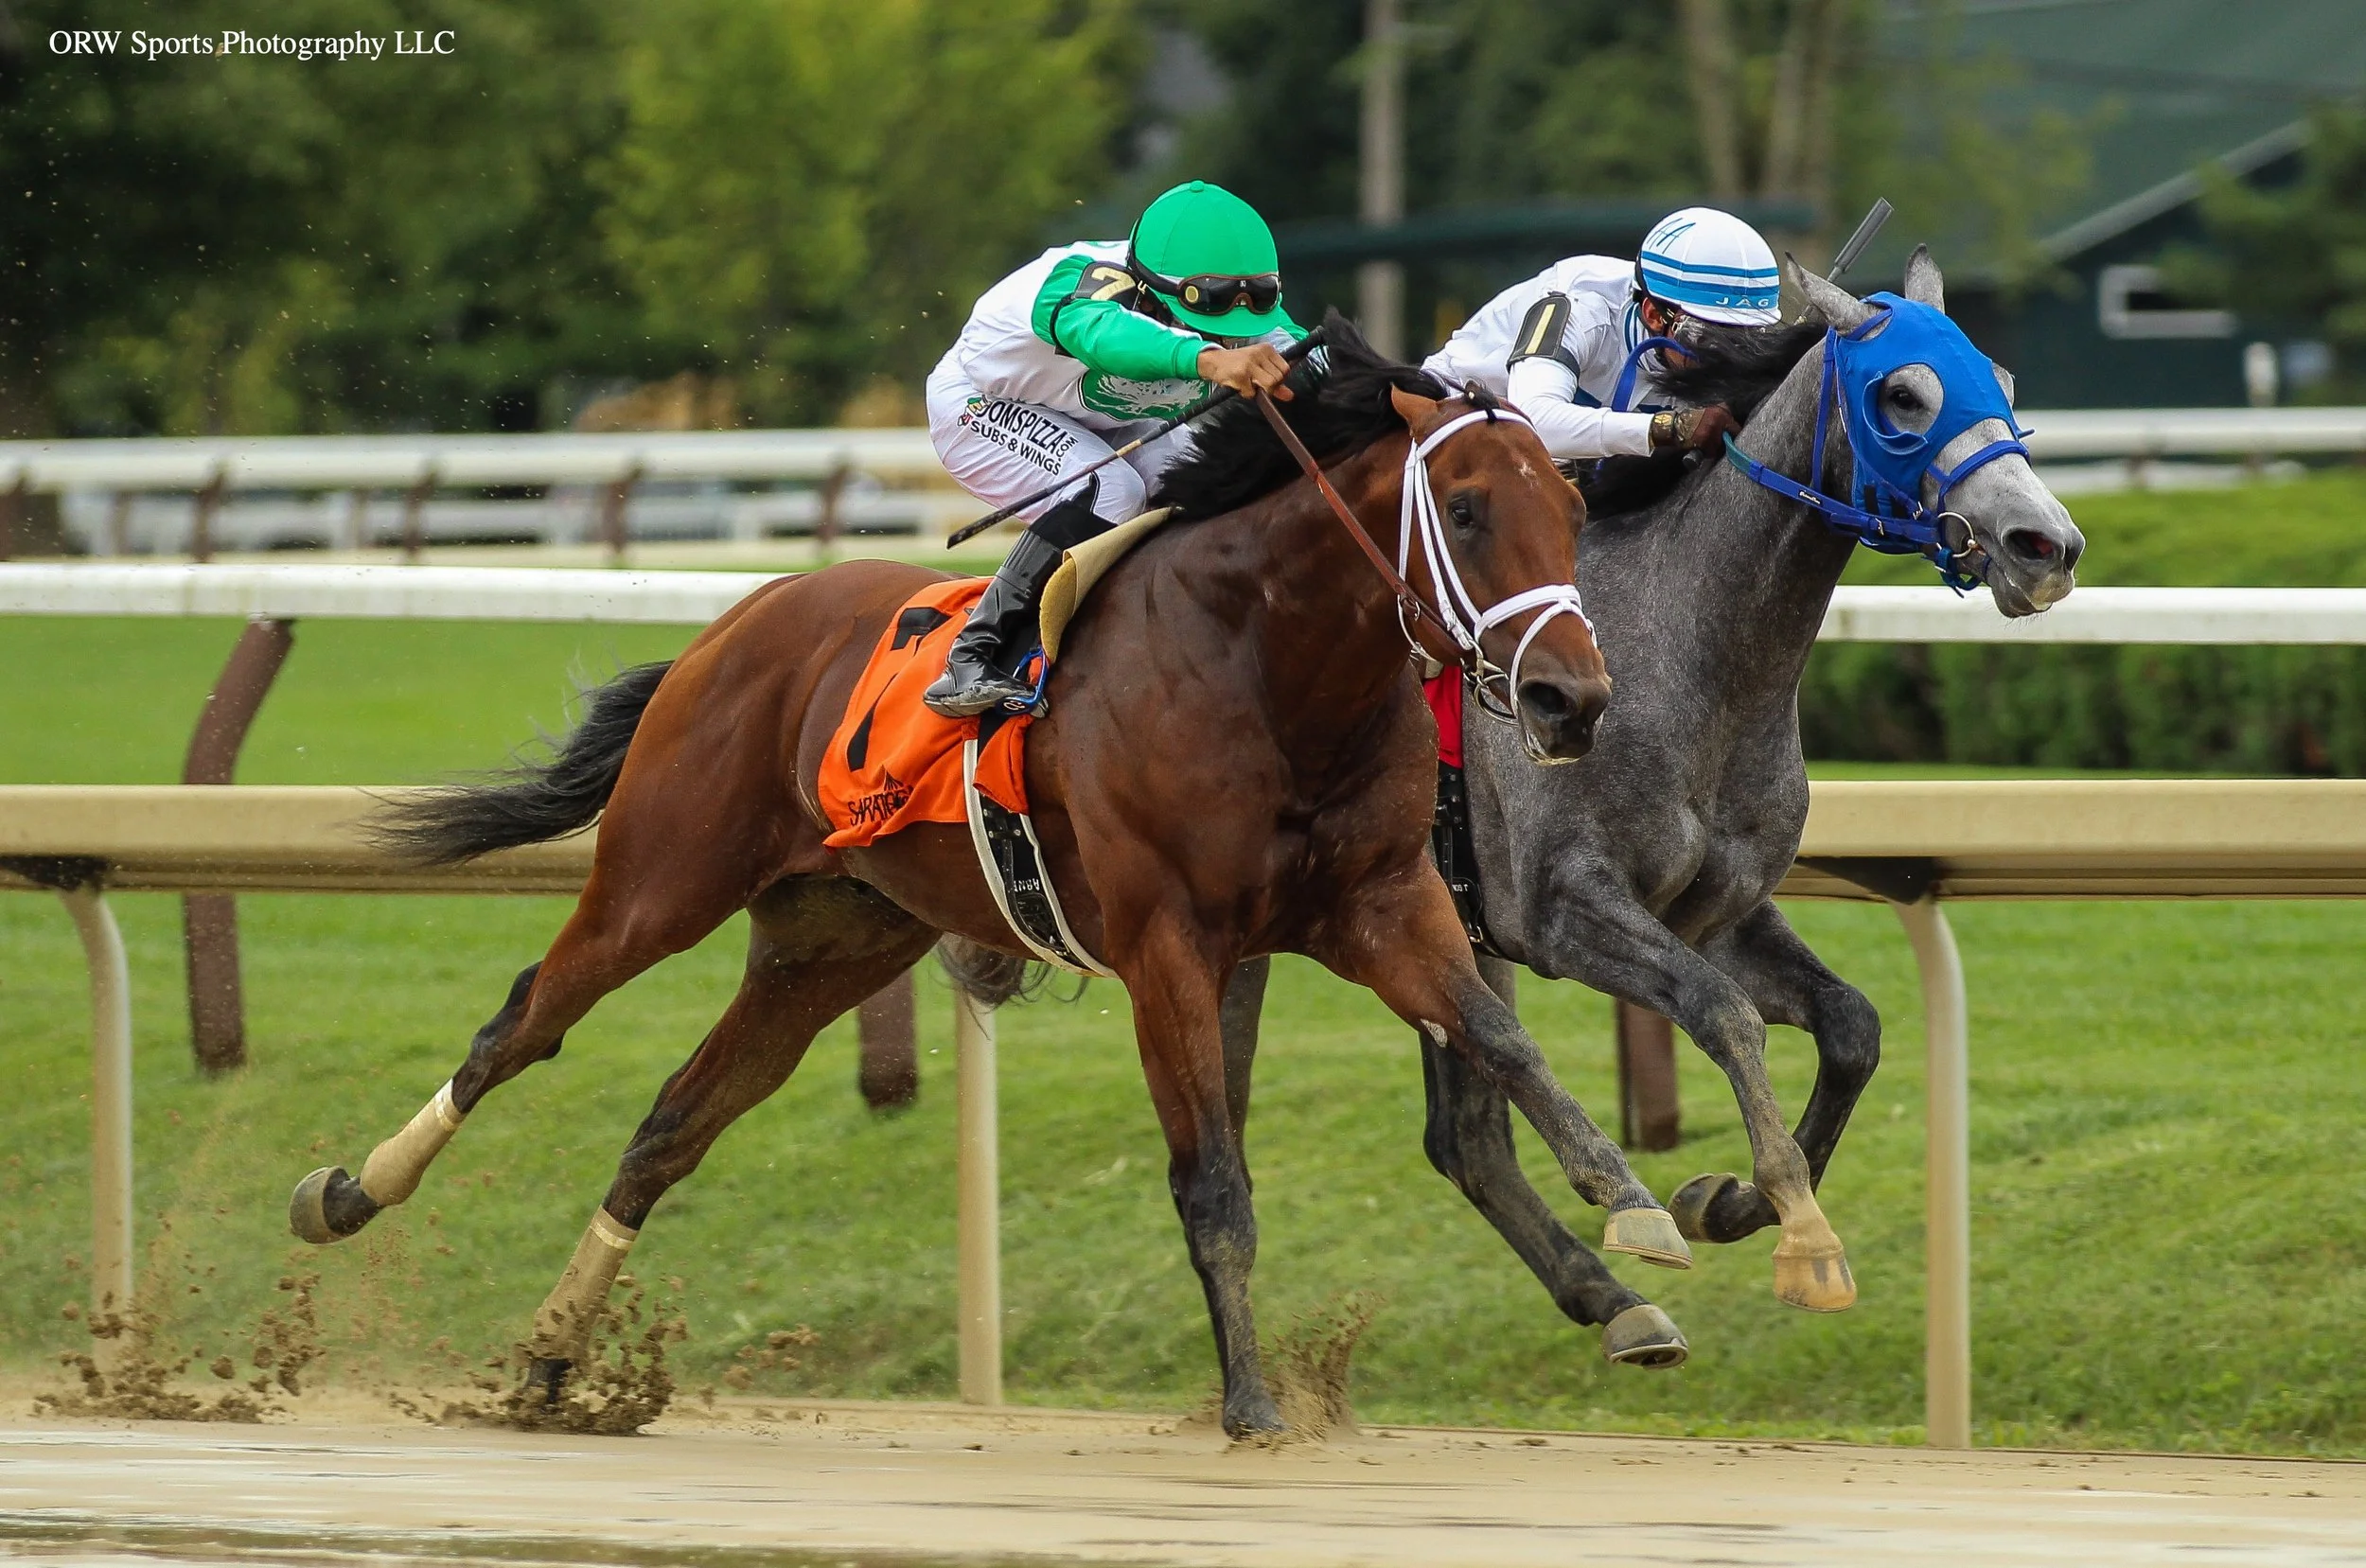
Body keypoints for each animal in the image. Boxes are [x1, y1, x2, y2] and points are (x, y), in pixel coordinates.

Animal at [286, 318, 1688, 1438]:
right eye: (1468, 511)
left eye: (1574, 514)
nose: (1570, 699)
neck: (1268, 663)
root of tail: (732, 623)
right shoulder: (1167, 946)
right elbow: (1213, 1181)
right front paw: (1249, 1402)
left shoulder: (1382, 906)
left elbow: (1507, 1043)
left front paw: (1636, 1220)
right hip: (661, 880)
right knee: (522, 1024)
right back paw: (348, 1194)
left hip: (828, 945)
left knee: (671, 1124)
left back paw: (551, 1357)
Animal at [1220, 252, 2085, 1347]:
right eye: (1903, 395)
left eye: (2002, 382)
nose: (2045, 546)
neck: (1692, 659)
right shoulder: (1561, 910)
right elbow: (1722, 1013)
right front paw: (1803, 1236)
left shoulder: (1712, 911)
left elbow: (1850, 1025)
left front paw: (1726, 1202)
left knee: (1466, 1137)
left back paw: (1617, 1303)